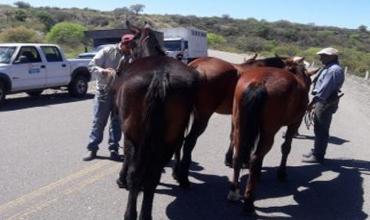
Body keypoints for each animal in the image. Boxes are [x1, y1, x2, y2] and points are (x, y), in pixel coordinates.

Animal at [113, 21, 199, 220]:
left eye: (132, 43)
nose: (119, 70)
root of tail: (159, 75)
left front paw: (121, 179)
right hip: (170, 136)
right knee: (153, 175)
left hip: (134, 134)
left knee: (136, 173)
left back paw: (130, 212)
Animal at [173, 54, 290, 186]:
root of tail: (195, 66)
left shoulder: (236, 115)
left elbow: (233, 135)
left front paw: (229, 159)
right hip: (203, 116)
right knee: (189, 142)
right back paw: (184, 178)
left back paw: (176, 173)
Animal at [227, 57, 320, 214]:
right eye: (310, 80)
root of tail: (259, 83)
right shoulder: (295, 123)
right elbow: (286, 147)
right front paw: (282, 173)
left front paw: (258, 174)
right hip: (269, 131)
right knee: (255, 158)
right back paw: (248, 203)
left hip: (240, 125)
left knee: (238, 156)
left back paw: (234, 191)